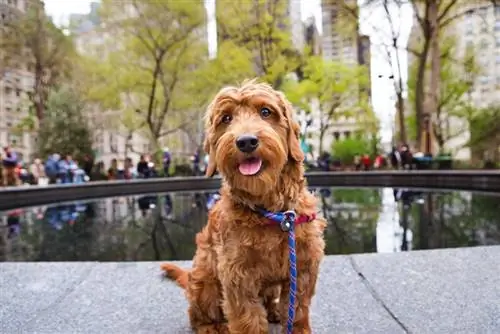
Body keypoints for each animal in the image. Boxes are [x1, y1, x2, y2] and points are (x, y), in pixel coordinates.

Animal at [160, 81, 324, 334]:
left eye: (266, 111)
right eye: (226, 118)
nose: (246, 141)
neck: (273, 213)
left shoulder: (303, 267)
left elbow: (297, 310)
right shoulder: (237, 274)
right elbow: (248, 317)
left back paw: (274, 311)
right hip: (205, 283)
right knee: (197, 315)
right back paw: (212, 327)